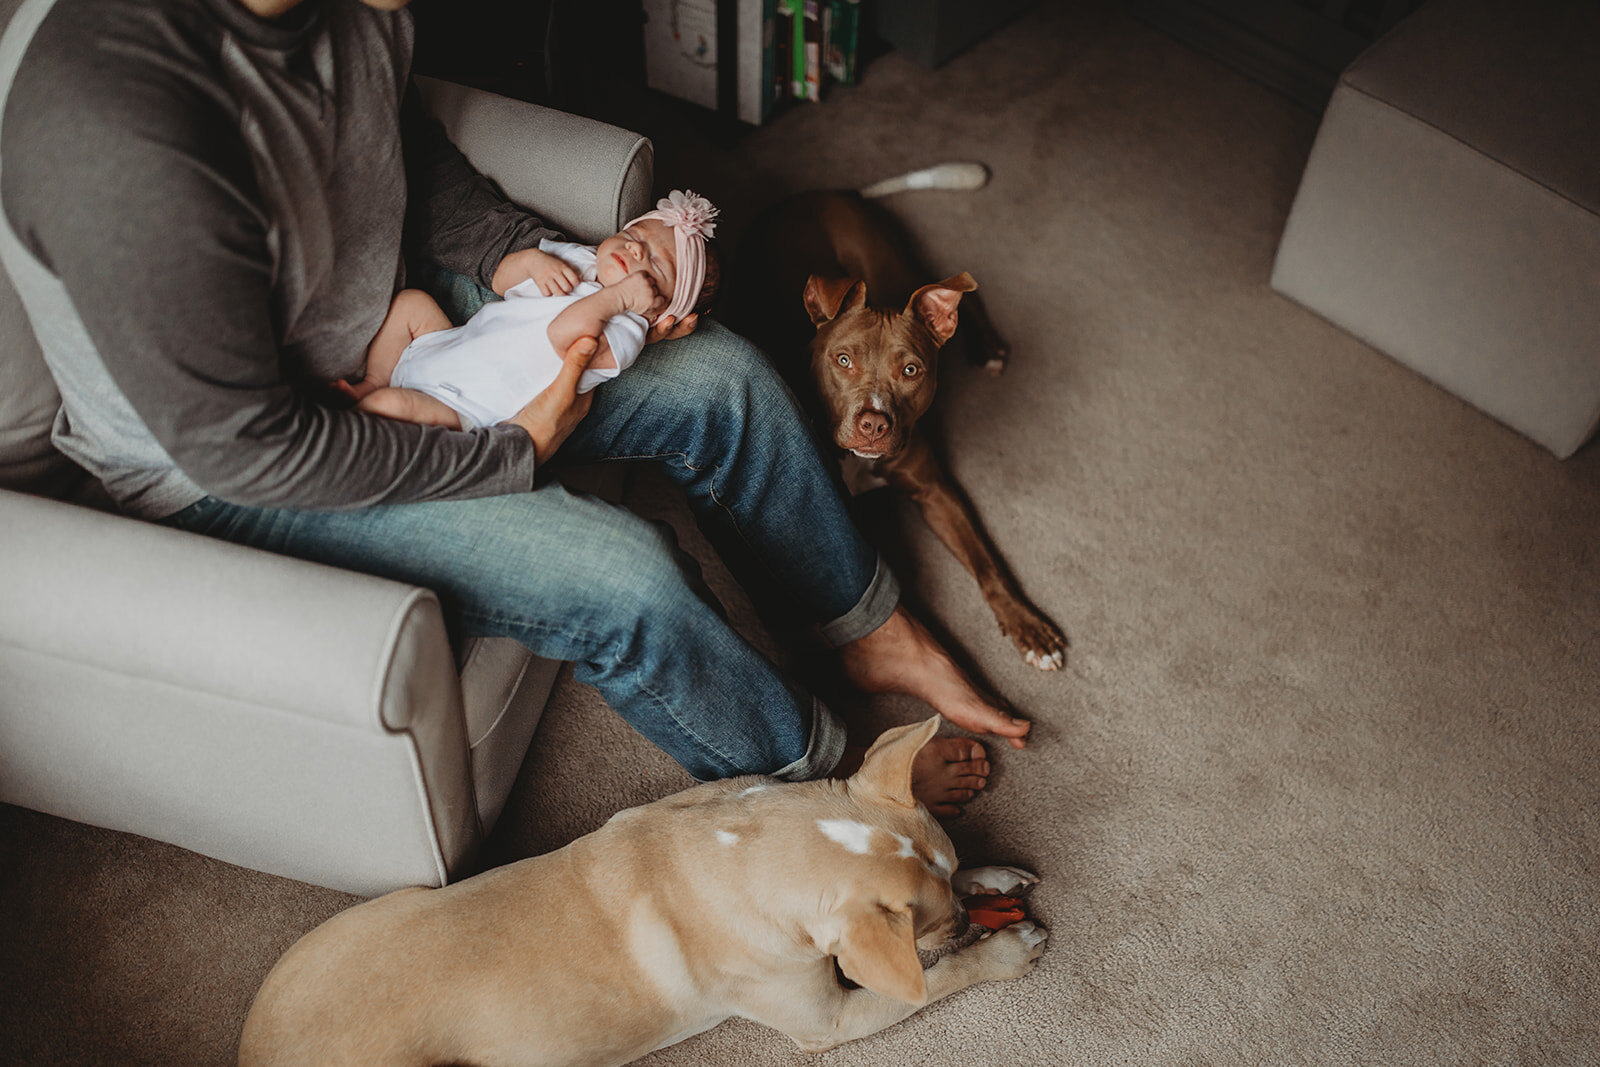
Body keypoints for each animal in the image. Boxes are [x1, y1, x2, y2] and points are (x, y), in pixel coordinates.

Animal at [232, 716, 1043, 1067]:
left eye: (954, 866)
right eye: (925, 931)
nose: (966, 916)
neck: (747, 852)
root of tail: (252, 1048)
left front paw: (993, 875)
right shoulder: (833, 1020)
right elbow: (938, 981)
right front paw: (1002, 950)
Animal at [732, 181, 1068, 668]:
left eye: (910, 371)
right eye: (843, 360)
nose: (873, 424)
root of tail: (820, 192)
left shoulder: (936, 491)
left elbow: (988, 565)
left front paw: (1027, 625)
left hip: (892, 266)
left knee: (959, 291)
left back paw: (987, 347)